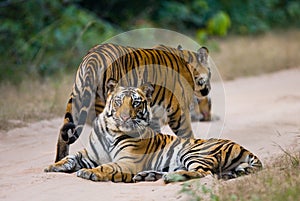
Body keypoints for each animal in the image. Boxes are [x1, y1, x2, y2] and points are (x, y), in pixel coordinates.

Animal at [45, 80, 262, 184]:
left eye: (136, 103)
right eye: (118, 101)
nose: (125, 118)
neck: (111, 131)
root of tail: (242, 147)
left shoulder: (127, 162)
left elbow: (106, 167)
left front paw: (89, 173)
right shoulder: (89, 155)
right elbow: (70, 158)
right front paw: (53, 166)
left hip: (194, 153)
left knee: (203, 173)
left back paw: (165, 178)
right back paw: (147, 176)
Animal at [55, 43, 212, 162]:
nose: (209, 89)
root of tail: (93, 56)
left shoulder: (153, 114)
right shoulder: (178, 111)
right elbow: (186, 134)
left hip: (76, 99)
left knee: (63, 133)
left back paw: (59, 161)